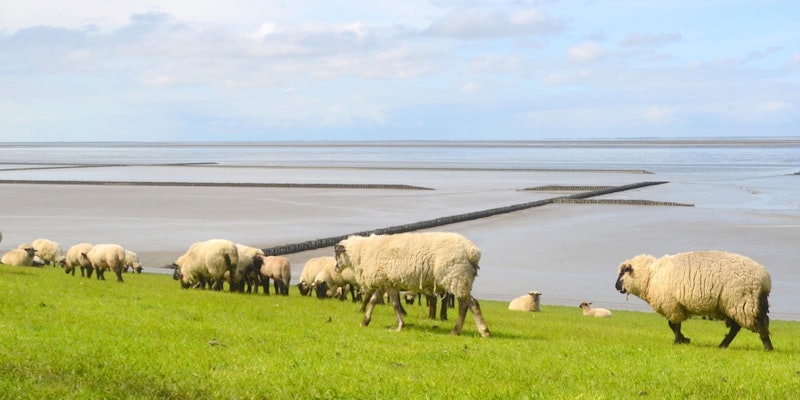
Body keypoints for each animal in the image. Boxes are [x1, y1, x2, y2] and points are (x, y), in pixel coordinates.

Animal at [334, 232, 491, 337]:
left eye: (337, 254)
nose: (335, 268)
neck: (363, 251)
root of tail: (472, 252)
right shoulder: (386, 282)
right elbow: (374, 301)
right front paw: (365, 321)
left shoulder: (387, 283)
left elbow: (394, 305)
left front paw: (399, 326)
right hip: (459, 279)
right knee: (464, 305)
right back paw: (455, 331)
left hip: (456, 276)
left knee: (472, 304)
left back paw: (484, 331)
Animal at [615, 250, 773, 351]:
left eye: (622, 273)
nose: (616, 286)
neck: (651, 276)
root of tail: (765, 279)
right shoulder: (676, 305)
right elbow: (673, 326)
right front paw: (684, 339)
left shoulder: (672, 304)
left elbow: (674, 325)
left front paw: (679, 341)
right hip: (736, 305)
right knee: (738, 327)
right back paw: (723, 345)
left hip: (743, 302)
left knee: (760, 324)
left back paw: (768, 347)